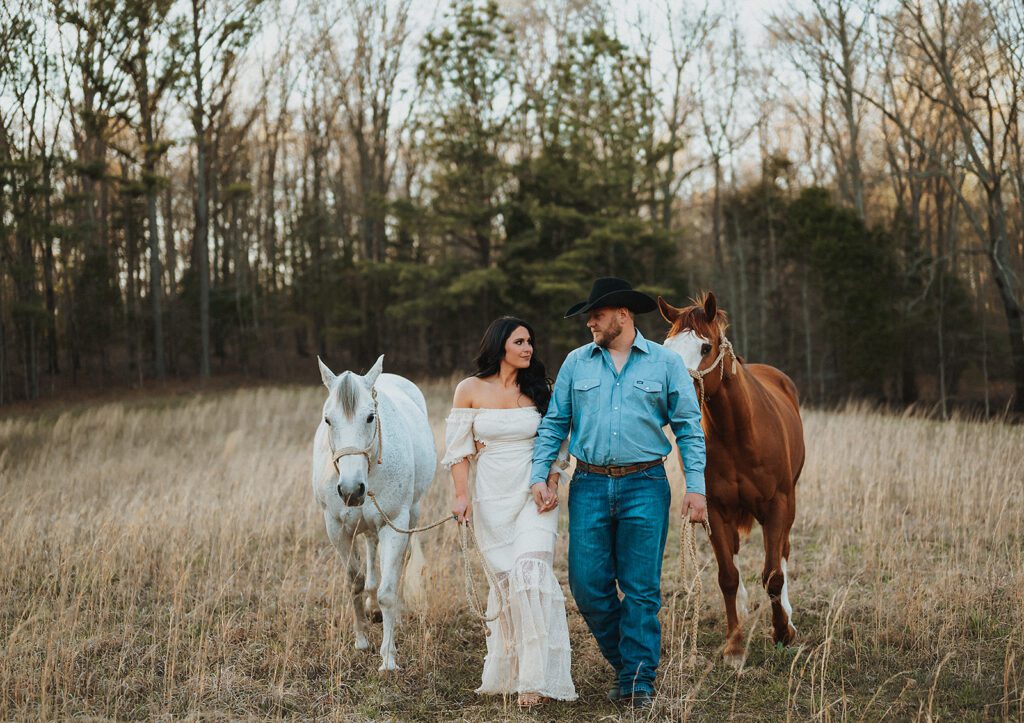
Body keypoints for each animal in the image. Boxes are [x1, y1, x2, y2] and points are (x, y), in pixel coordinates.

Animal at [313, 354, 438, 671]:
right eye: (328, 419)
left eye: (370, 417)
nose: (350, 489)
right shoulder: (336, 527)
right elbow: (354, 582)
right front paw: (361, 640)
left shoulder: (394, 523)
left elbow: (388, 592)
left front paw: (388, 657)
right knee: (370, 547)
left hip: (412, 514)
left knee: (401, 563)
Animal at [659, 290, 802, 663]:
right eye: (666, 346)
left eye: (705, 347)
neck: (739, 433)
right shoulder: (715, 510)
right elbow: (727, 576)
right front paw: (735, 645)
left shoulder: (778, 505)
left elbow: (773, 576)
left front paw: (782, 632)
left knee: (783, 553)